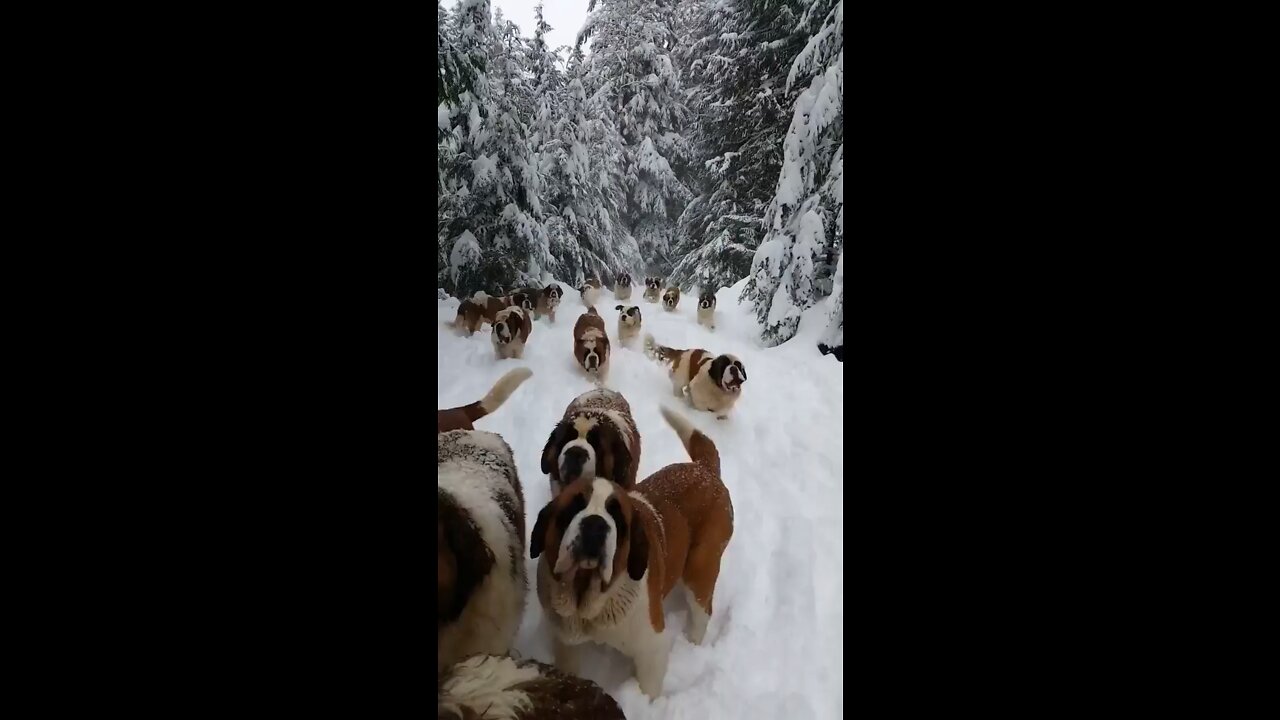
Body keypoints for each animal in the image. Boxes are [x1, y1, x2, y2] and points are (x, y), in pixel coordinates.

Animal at [527, 404, 732, 696]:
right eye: (573, 507)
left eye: (617, 517)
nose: (595, 524)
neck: (590, 605)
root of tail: (704, 470)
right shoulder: (566, 641)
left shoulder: (651, 649)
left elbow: (648, 687)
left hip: (700, 568)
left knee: (701, 611)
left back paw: (693, 642)